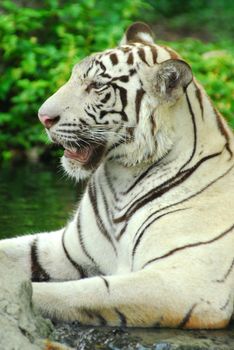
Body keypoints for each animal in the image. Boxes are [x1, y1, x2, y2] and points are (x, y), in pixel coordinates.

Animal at [0, 23, 234, 330]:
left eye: (97, 85)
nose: (43, 117)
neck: (123, 180)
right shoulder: (67, 248)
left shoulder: (189, 283)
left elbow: (79, 293)